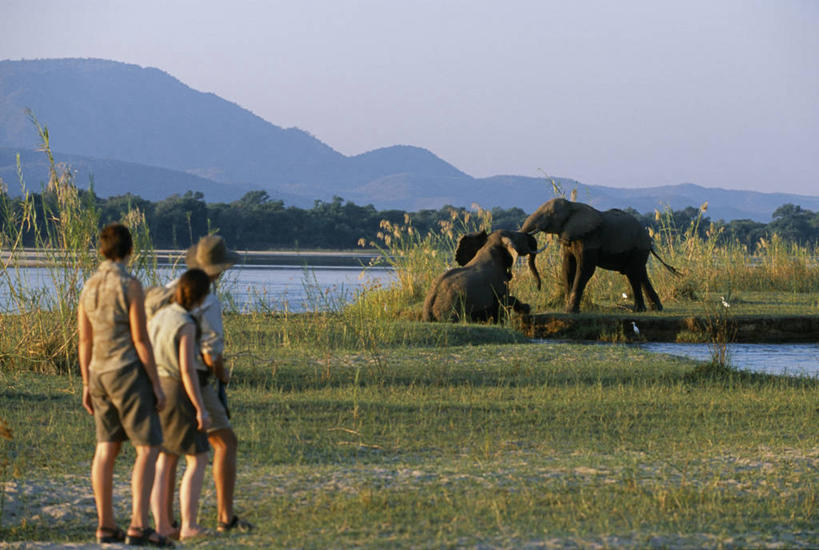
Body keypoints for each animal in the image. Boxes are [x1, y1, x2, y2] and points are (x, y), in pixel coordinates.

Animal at [524, 198, 676, 312]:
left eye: (551, 213)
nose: (538, 287)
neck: (572, 205)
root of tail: (648, 239)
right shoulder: (570, 236)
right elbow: (567, 267)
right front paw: (567, 308)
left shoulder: (589, 240)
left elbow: (585, 269)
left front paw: (571, 310)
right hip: (638, 251)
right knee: (640, 273)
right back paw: (655, 308)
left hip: (638, 248)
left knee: (633, 273)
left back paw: (639, 309)